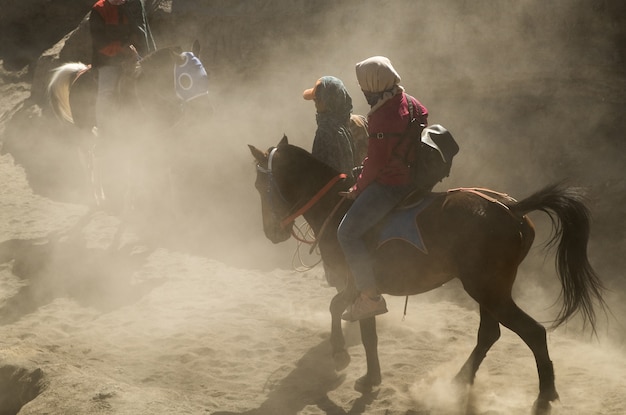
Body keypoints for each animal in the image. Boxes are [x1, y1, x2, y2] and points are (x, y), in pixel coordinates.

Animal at [48, 40, 210, 213]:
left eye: (205, 77)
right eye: (185, 80)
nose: (207, 111)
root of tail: (79, 73)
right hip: (85, 129)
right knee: (88, 159)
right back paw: (97, 198)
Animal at [249, 136, 604, 412]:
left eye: (259, 186)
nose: (270, 233)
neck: (339, 209)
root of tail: (511, 208)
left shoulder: (355, 282)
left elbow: (345, 315)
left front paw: (346, 359)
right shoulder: (363, 289)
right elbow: (359, 325)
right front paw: (363, 371)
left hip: (488, 289)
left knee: (533, 332)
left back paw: (544, 396)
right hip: (489, 291)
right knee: (489, 334)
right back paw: (459, 381)